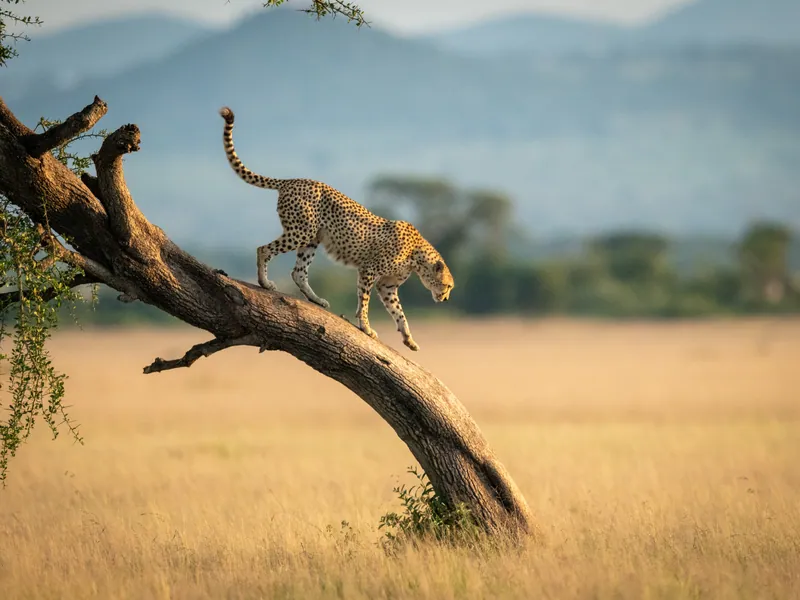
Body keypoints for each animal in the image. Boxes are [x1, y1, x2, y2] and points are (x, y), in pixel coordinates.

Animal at [218, 106, 454, 351]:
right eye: (447, 286)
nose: (445, 298)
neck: (417, 256)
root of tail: (293, 180)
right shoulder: (369, 270)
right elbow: (365, 302)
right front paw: (365, 327)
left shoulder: (387, 285)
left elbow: (398, 312)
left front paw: (408, 338)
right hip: (301, 232)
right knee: (264, 249)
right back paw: (265, 282)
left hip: (312, 238)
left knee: (298, 272)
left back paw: (316, 299)